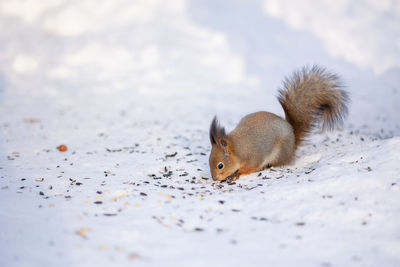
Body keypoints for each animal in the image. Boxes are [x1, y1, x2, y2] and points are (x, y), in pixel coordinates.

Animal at [208, 65, 348, 182]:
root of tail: (292, 143)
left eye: (220, 165)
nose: (214, 179)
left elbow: (251, 168)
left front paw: (238, 173)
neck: (237, 149)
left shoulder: (254, 157)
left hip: (278, 153)